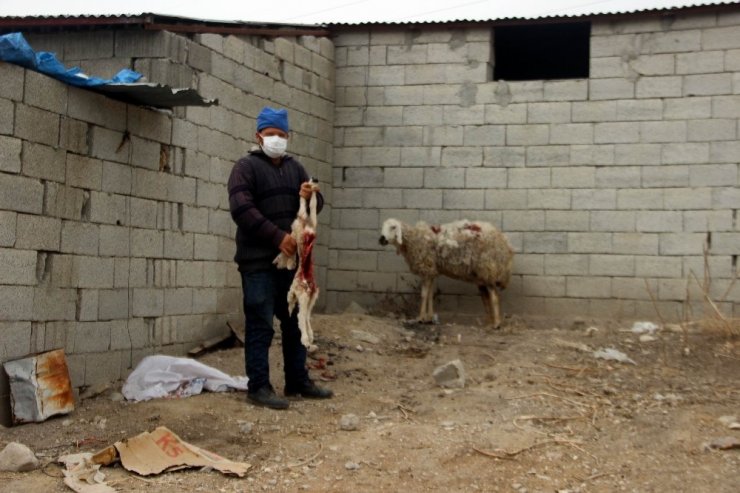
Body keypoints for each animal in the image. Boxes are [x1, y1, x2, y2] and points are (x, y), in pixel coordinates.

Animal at [272, 181, 318, 350]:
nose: (275, 263)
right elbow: (311, 206)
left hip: (306, 296)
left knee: (302, 316)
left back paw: (306, 339)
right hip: (310, 297)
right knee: (305, 316)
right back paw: (309, 337)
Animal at [376, 218, 516, 326]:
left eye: (393, 227)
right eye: (382, 227)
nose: (381, 239)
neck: (414, 239)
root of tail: (505, 244)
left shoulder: (427, 268)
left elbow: (424, 294)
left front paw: (420, 318)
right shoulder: (432, 270)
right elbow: (430, 295)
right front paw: (429, 318)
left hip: (488, 269)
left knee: (494, 296)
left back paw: (496, 324)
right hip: (482, 275)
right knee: (486, 297)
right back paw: (489, 322)